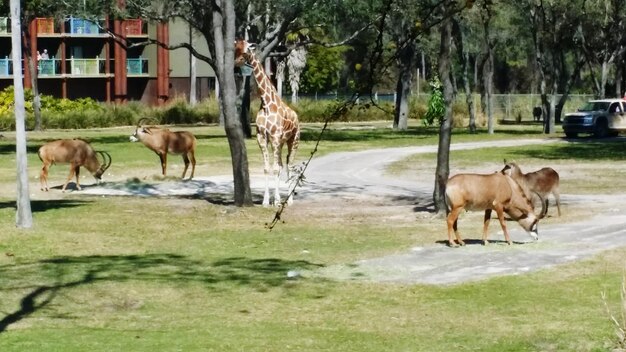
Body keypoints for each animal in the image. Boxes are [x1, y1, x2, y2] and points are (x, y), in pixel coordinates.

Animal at [235, 39, 302, 206]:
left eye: (246, 50)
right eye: (235, 49)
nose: (237, 63)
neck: (266, 103)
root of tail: (297, 116)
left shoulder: (276, 137)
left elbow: (276, 169)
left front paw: (276, 200)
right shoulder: (262, 137)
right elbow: (267, 168)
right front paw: (266, 200)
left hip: (294, 140)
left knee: (290, 165)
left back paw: (289, 199)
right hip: (281, 142)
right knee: (282, 164)